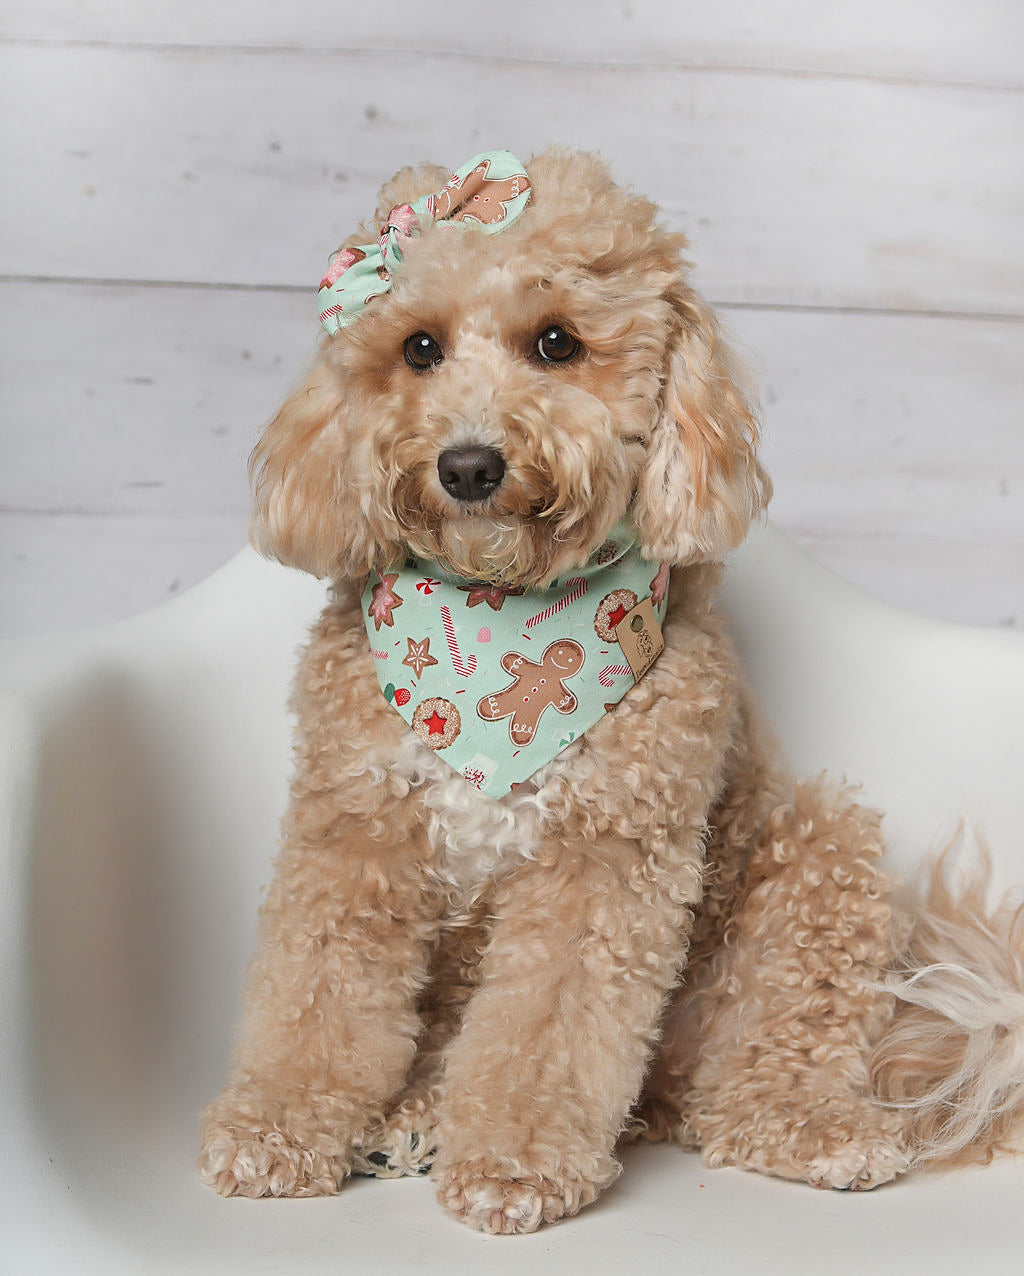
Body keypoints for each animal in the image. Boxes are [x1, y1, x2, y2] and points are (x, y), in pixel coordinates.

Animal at [197, 149, 1024, 1235]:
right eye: (419, 348)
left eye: (557, 342)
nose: (469, 464)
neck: (498, 617)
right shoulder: (355, 833)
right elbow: (315, 998)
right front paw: (272, 1128)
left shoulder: (602, 860)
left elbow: (547, 1025)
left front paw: (511, 1162)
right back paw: (413, 1117)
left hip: (812, 850)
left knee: (766, 1056)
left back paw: (809, 1126)